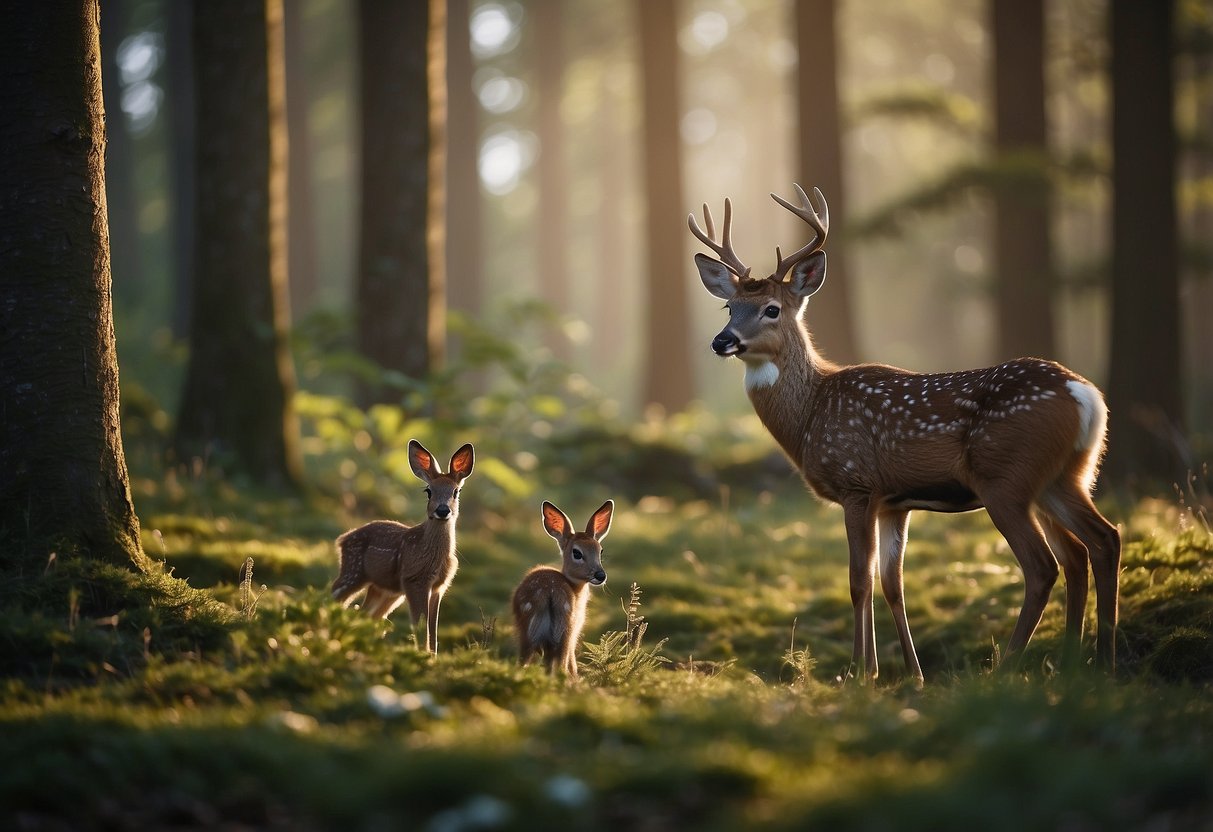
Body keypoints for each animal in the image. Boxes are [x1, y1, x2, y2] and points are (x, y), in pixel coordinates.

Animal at [332, 439, 473, 654]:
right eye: (428, 491)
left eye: (456, 492)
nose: (442, 510)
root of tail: (343, 539)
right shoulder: (414, 579)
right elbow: (421, 627)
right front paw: (423, 655)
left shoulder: (439, 586)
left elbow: (433, 631)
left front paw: (433, 657)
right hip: (354, 571)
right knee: (333, 595)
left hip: (384, 589)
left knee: (367, 614)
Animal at [509, 502, 611, 679]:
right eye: (577, 552)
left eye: (601, 550)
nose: (600, 575)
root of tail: (547, 593)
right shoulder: (576, 628)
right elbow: (572, 663)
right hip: (565, 630)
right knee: (560, 666)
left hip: (528, 633)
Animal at [688, 184, 1120, 684]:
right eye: (729, 306)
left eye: (771, 309)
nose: (722, 340)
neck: (811, 415)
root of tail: (1085, 395)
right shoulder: (894, 501)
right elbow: (891, 584)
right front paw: (910, 674)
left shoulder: (856, 484)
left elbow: (858, 581)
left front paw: (859, 673)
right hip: (1065, 476)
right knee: (1096, 543)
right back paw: (1091, 664)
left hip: (1007, 478)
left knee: (1045, 565)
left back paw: (1009, 667)